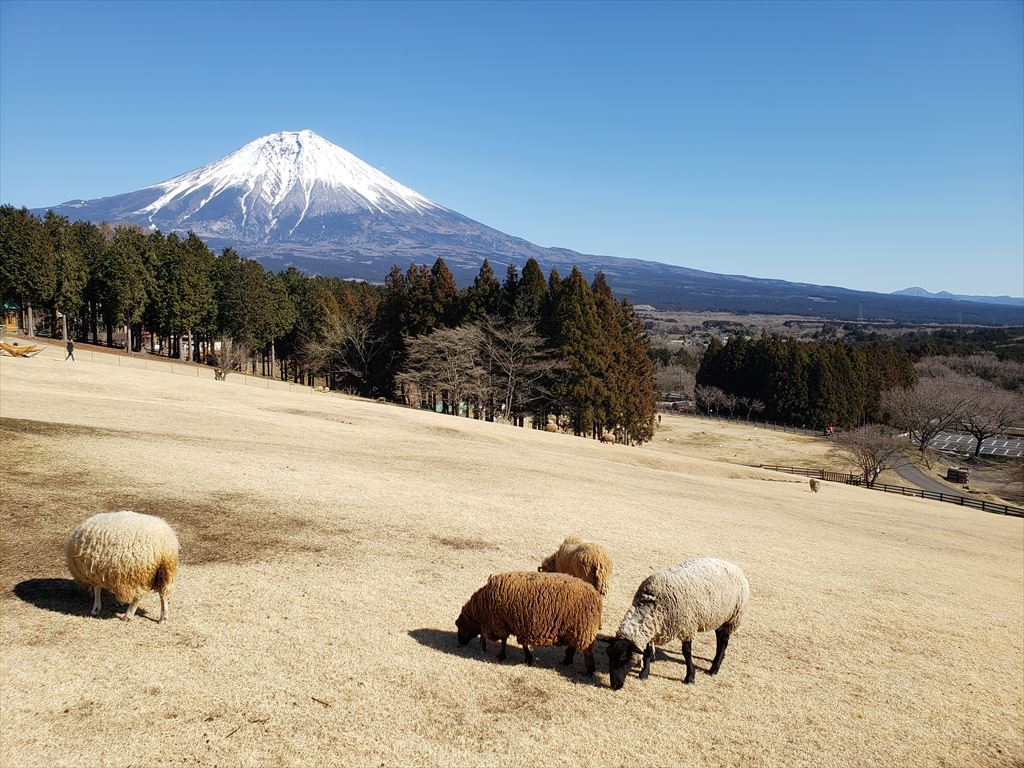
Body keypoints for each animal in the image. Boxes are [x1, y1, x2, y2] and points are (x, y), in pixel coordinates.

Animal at [454, 573, 598, 671]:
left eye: (460, 625)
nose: (459, 643)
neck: (481, 610)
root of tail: (595, 594)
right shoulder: (515, 626)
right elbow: (519, 643)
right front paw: (527, 658)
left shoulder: (501, 624)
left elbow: (505, 641)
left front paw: (502, 656)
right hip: (577, 629)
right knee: (574, 646)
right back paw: (567, 661)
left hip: (583, 627)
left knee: (587, 650)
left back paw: (589, 669)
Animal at [602, 561, 749, 692]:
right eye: (608, 655)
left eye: (622, 658)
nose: (614, 686)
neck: (652, 603)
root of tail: (734, 566)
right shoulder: (654, 628)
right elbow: (648, 651)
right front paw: (644, 673)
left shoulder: (688, 626)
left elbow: (686, 652)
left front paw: (690, 677)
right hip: (721, 617)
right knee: (719, 638)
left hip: (732, 617)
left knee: (724, 641)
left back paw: (714, 668)